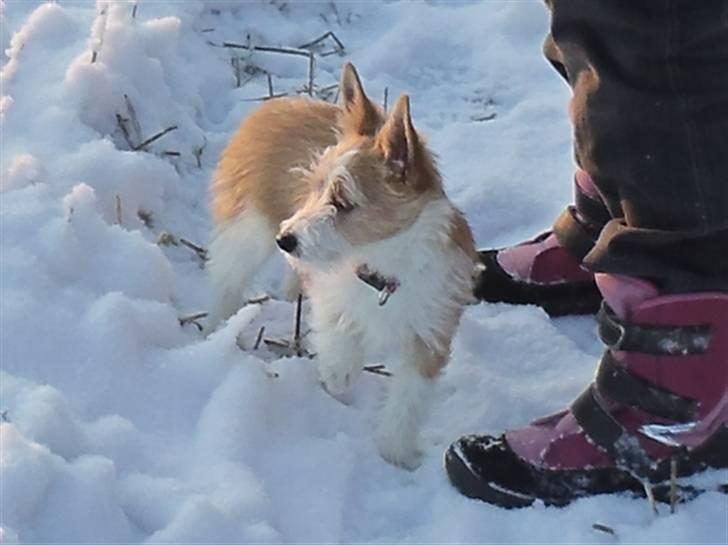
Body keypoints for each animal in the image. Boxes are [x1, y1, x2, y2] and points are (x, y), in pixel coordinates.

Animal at [206, 61, 478, 466]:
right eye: (314, 188)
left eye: (343, 201)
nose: (286, 239)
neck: (382, 266)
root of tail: (274, 105)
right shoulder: (334, 301)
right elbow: (339, 353)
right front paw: (337, 384)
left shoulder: (430, 331)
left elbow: (408, 400)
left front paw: (395, 453)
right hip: (250, 227)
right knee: (226, 277)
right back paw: (216, 330)